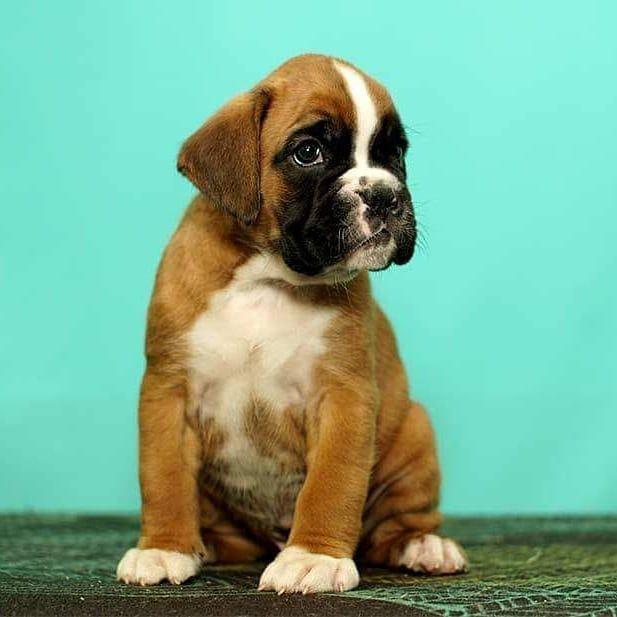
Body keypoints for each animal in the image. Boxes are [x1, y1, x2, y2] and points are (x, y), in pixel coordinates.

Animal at [116, 53, 466, 592]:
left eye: (394, 154)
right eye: (308, 152)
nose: (386, 196)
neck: (267, 276)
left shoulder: (343, 398)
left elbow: (331, 484)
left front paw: (314, 556)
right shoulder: (168, 393)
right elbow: (164, 476)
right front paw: (164, 547)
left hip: (414, 432)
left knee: (396, 523)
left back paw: (424, 545)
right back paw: (204, 544)